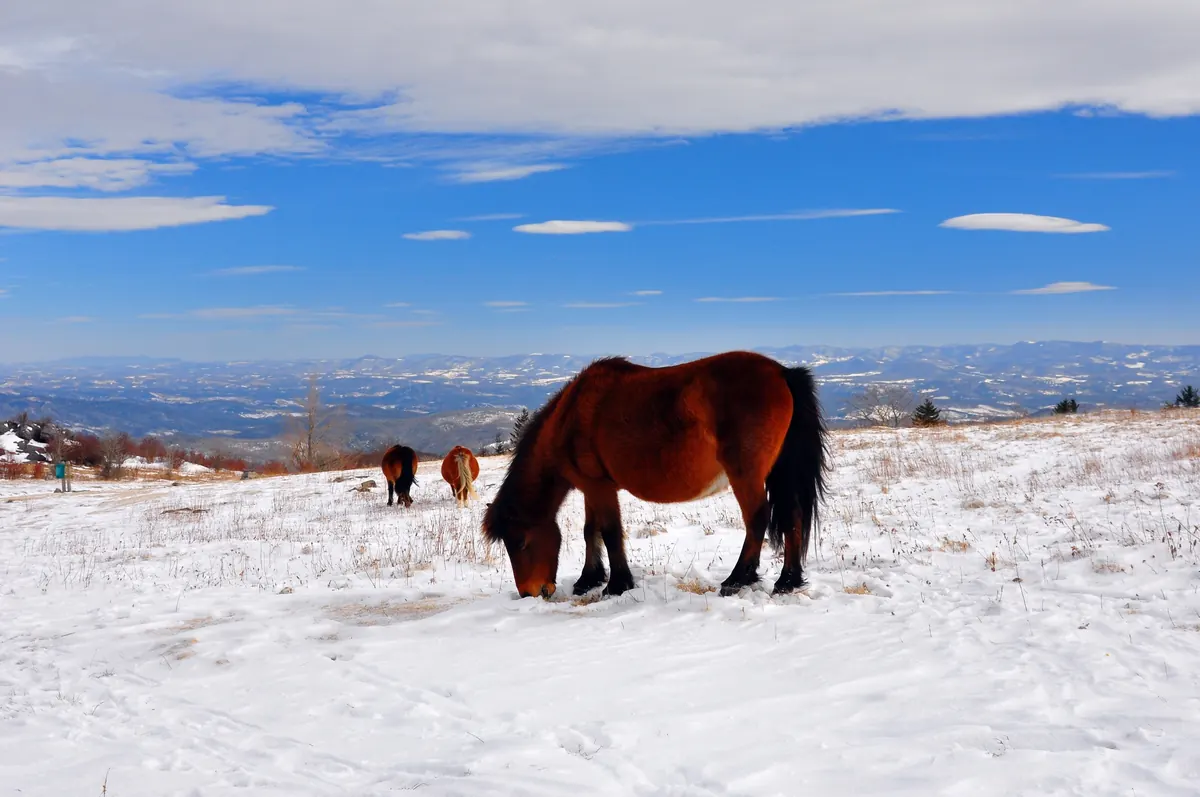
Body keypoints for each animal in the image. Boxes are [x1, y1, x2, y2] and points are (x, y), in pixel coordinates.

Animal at [482, 351, 827, 600]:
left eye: (520, 541)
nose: (531, 592)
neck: (569, 419)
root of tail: (782, 373)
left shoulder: (599, 487)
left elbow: (609, 531)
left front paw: (617, 585)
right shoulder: (591, 488)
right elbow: (590, 530)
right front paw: (588, 580)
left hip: (746, 475)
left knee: (758, 518)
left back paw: (736, 580)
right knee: (792, 517)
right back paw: (787, 581)